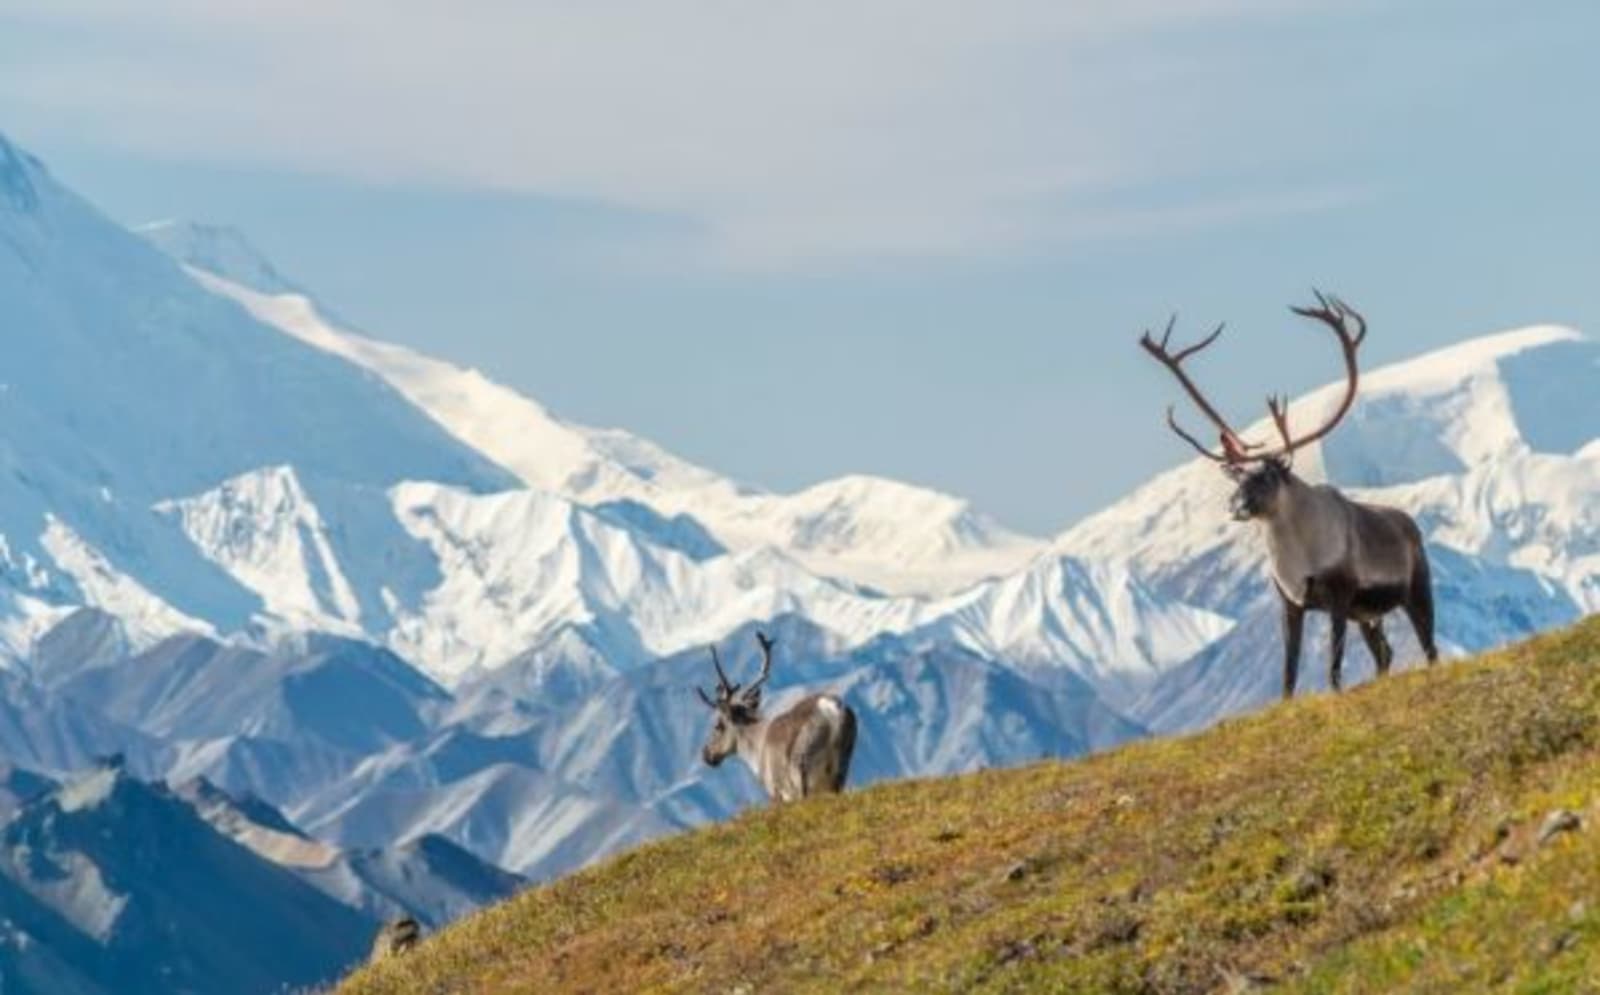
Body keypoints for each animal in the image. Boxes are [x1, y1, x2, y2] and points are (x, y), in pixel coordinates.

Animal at [695, 631, 857, 802]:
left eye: (718, 726)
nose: (706, 754)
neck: (756, 751)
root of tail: (831, 709)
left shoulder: (776, 792)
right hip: (841, 766)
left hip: (801, 769)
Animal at [1139, 291, 1438, 699]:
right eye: (1238, 479)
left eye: (1267, 476)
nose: (1235, 506)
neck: (1297, 555)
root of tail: (1410, 524)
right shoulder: (1290, 603)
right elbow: (1289, 672)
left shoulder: (1340, 595)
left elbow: (1333, 666)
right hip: (1367, 613)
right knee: (1385, 653)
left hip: (1415, 590)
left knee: (1429, 646)